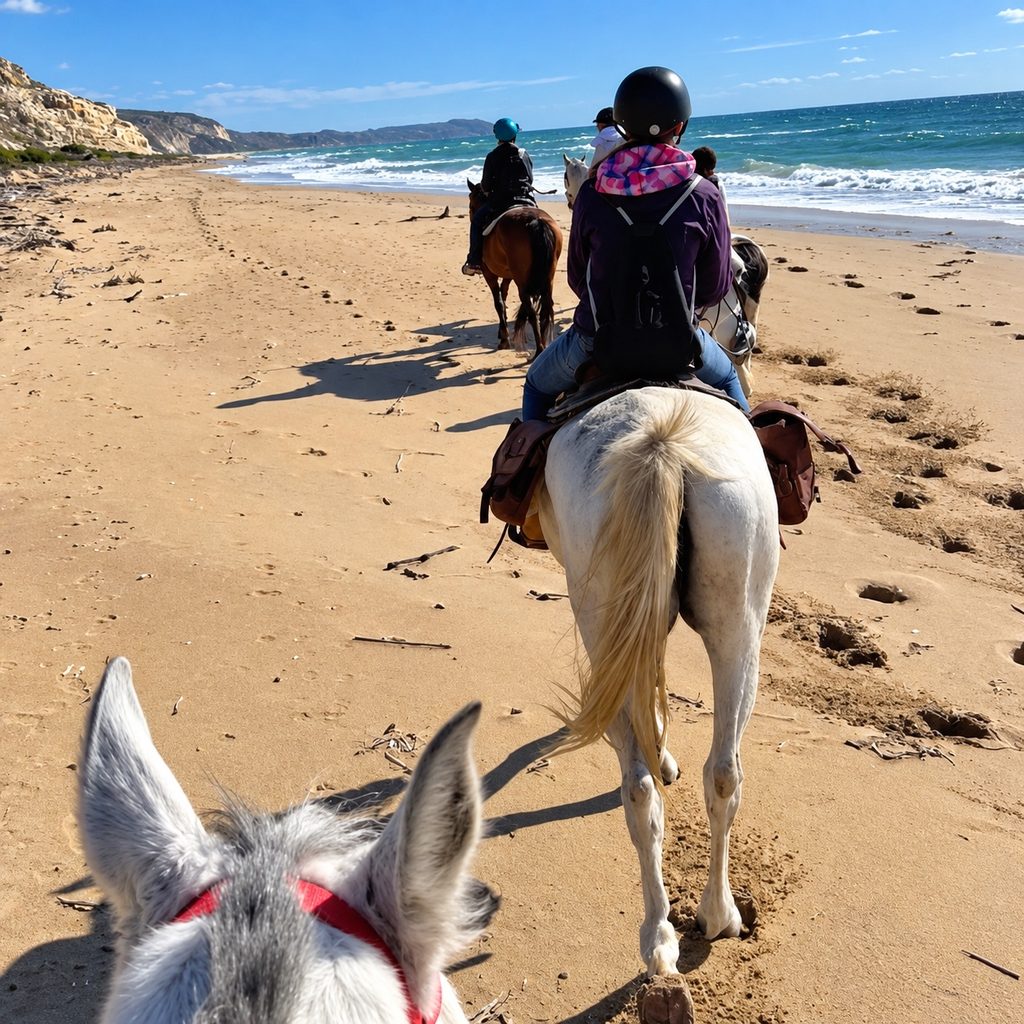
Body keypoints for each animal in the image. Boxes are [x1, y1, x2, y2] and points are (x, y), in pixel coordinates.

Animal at [466, 179, 562, 357]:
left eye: (471, 204)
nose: (471, 213)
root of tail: (536, 221)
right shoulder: (508, 275)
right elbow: (503, 297)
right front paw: (501, 331)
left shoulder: (489, 274)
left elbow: (498, 302)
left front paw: (504, 339)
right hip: (548, 278)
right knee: (545, 309)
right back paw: (542, 347)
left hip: (523, 282)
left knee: (531, 311)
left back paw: (539, 350)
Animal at [537, 386, 780, 1022]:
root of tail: (660, 442)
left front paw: (662, 749)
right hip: (739, 623)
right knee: (721, 773)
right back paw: (711, 918)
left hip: (601, 617)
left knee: (640, 785)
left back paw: (663, 938)